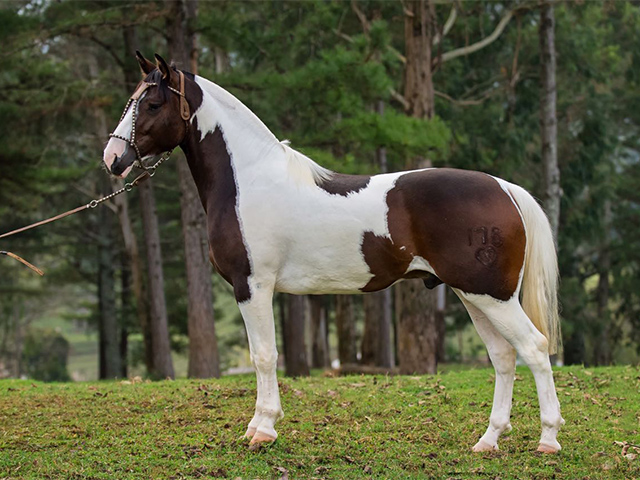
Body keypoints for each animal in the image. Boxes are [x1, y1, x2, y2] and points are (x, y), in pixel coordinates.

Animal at [102, 53, 564, 454]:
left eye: (152, 103)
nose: (112, 159)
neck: (248, 180)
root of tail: (504, 188)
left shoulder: (253, 286)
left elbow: (264, 355)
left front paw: (263, 429)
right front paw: (257, 426)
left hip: (492, 296)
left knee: (535, 348)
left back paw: (548, 439)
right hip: (474, 296)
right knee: (504, 357)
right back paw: (488, 440)